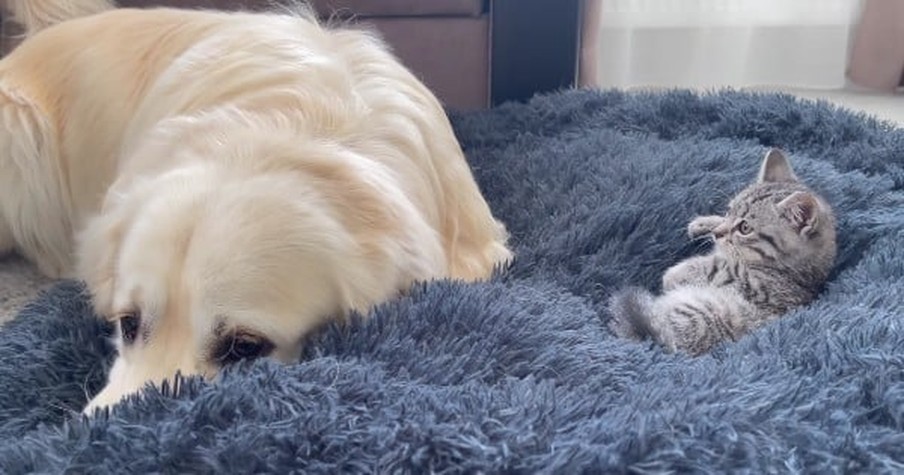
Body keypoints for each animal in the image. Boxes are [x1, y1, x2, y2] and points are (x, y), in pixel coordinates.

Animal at [612, 150, 836, 356]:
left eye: (745, 228)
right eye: (729, 211)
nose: (717, 233)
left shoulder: (758, 287)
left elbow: (716, 267)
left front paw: (673, 275)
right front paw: (706, 224)